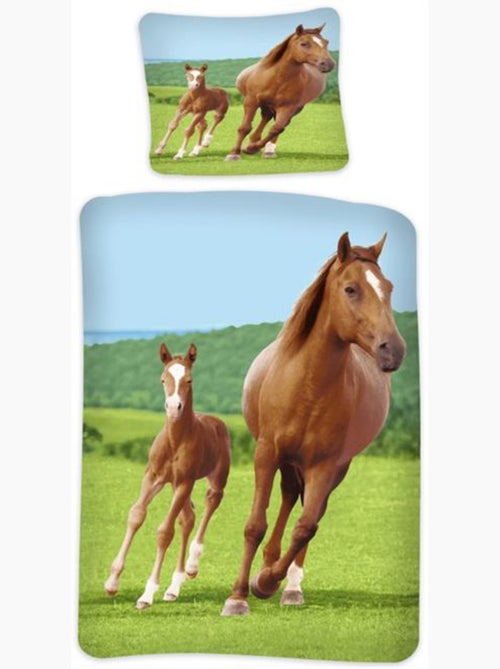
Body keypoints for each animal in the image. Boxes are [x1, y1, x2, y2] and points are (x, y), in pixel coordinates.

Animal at [104, 342, 231, 609]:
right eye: (163, 379)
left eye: (189, 380)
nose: (174, 408)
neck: (175, 441)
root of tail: (216, 421)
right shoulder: (153, 477)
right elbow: (136, 515)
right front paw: (112, 582)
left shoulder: (184, 481)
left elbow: (164, 532)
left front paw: (147, 593)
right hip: (174, 485)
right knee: (188, 519)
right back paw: (174, 587)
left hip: (213, 480)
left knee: (208, 505)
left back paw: (191, 566)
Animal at [221, 232, 407, 616]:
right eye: (351, 289)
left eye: (388, 287)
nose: (392, 350)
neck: (307, 385)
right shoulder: (266, 453)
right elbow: (255, 524)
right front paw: (238, 595)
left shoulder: (324, 464)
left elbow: (306, 526)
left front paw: (267, 582)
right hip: (287, 461)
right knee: (289, 496)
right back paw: (267, 565)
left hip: (332, 468)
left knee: (309, 510)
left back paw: (288, 585)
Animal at [225, 24, 335, 161]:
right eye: (304, 44)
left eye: (326, 42)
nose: (328, 64)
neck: (277, 78)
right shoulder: (251, 101)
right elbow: (244, 127)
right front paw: (234, 153)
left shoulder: (287, 107)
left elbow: (276, 129)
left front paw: (251, 148)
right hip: (265, 104)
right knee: (266, 117)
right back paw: (254, 141)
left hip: (294, 108)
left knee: (278, 124)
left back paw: (267, 150)